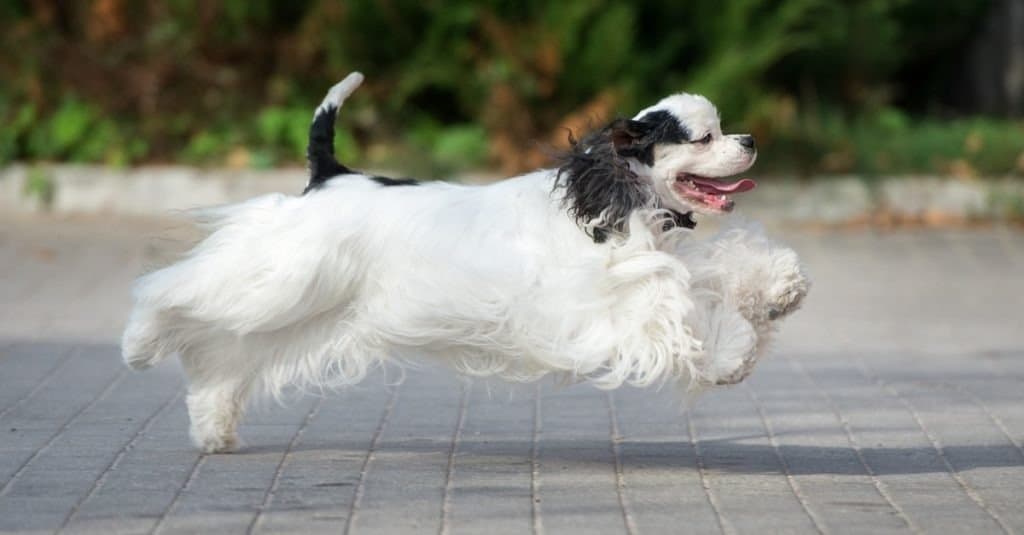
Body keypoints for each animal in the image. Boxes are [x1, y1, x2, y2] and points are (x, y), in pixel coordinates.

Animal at [119, 72, 806, 450]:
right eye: (705, 137)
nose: (751, 139)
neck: (613, 198)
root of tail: (331, 175)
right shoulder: (603, 301)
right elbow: (677, 306)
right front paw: (731, 354)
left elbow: (711, 276)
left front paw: (777, 289)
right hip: (281, 275)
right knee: (174, 288)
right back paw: (138, 341)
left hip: (306, 305)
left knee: (230, 356)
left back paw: (213, 426)